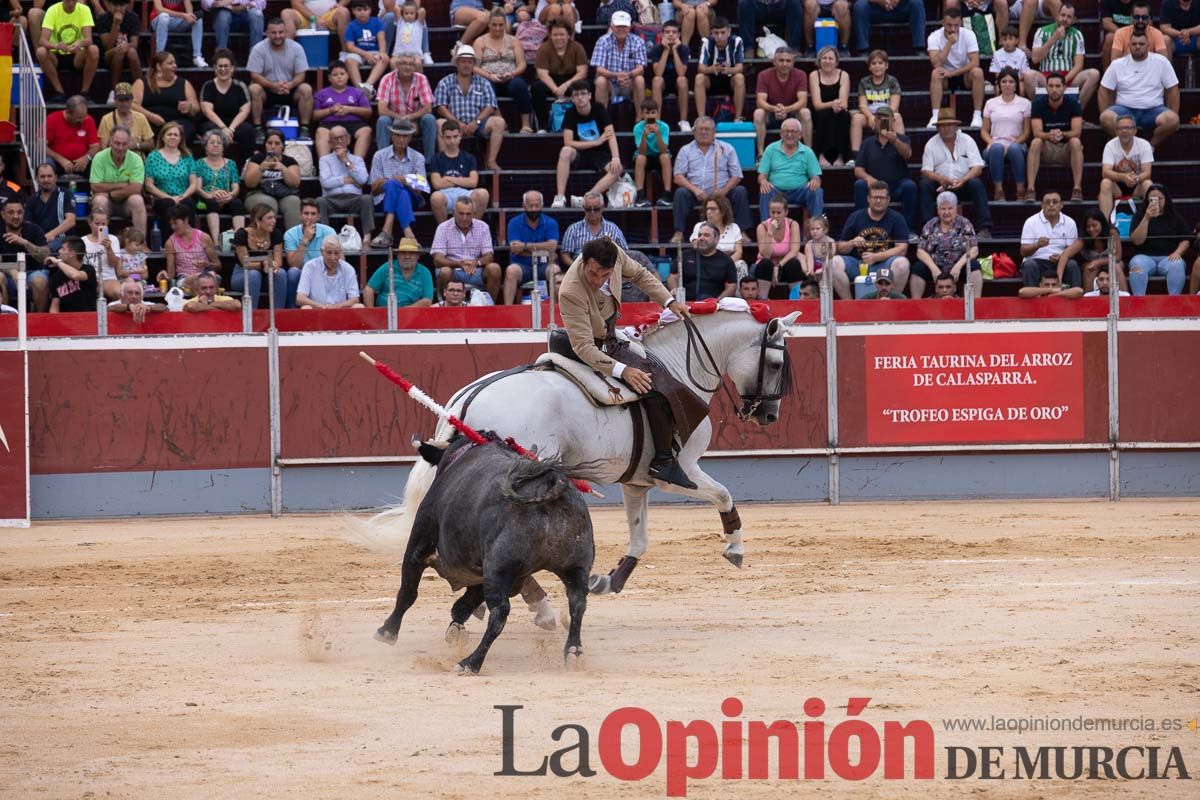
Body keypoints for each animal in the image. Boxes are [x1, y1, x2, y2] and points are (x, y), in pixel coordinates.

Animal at [374, 434, 595, 671]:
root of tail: (549, 484)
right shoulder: (488, 572)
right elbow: (463, 605)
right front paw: (456, 632)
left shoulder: (418, 546)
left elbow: (408, 592)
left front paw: (387, 632)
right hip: (575, 566)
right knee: (578, 603)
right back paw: (573, 652)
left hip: (499, 567)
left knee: (500, 613)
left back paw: (471, 662)